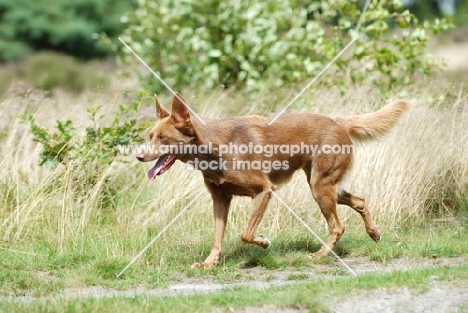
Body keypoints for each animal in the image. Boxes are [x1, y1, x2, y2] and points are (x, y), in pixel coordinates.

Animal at [136, 92, 410, 268]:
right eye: (150, 136)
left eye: (162, 138)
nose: (138, 156)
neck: (214, 149)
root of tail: (339, 120)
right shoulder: (220, 199)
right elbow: (217, 237)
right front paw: (209, 263)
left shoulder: (264, 190)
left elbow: (246, 233)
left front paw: (264, 242)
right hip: (327, 186)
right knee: (360, 200)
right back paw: (374, 233)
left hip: (320, 187)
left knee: (337, 226)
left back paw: (321, 254)